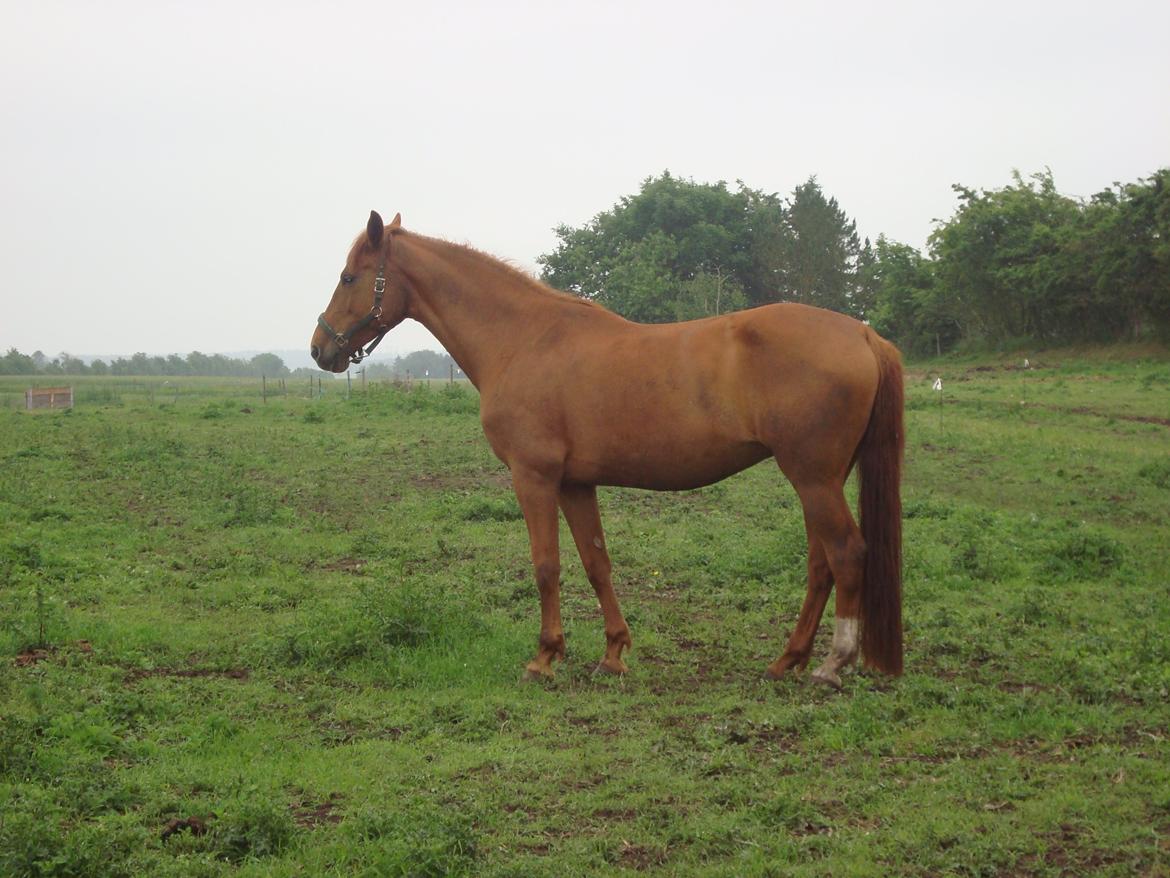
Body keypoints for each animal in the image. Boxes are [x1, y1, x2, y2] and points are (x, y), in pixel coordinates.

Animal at [311, 211, 903, 688]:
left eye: (349, 277)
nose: (319, 349)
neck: (523, 339)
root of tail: (863, 334)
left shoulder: (533, 477)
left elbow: (546, 565)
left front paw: (544, 658)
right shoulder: (575, 483)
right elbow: (597, 562)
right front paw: (614, 654)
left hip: (813, 477)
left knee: (846, 554)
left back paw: (831, 665)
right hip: (819, 480)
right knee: (821, 563)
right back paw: (788, 660)